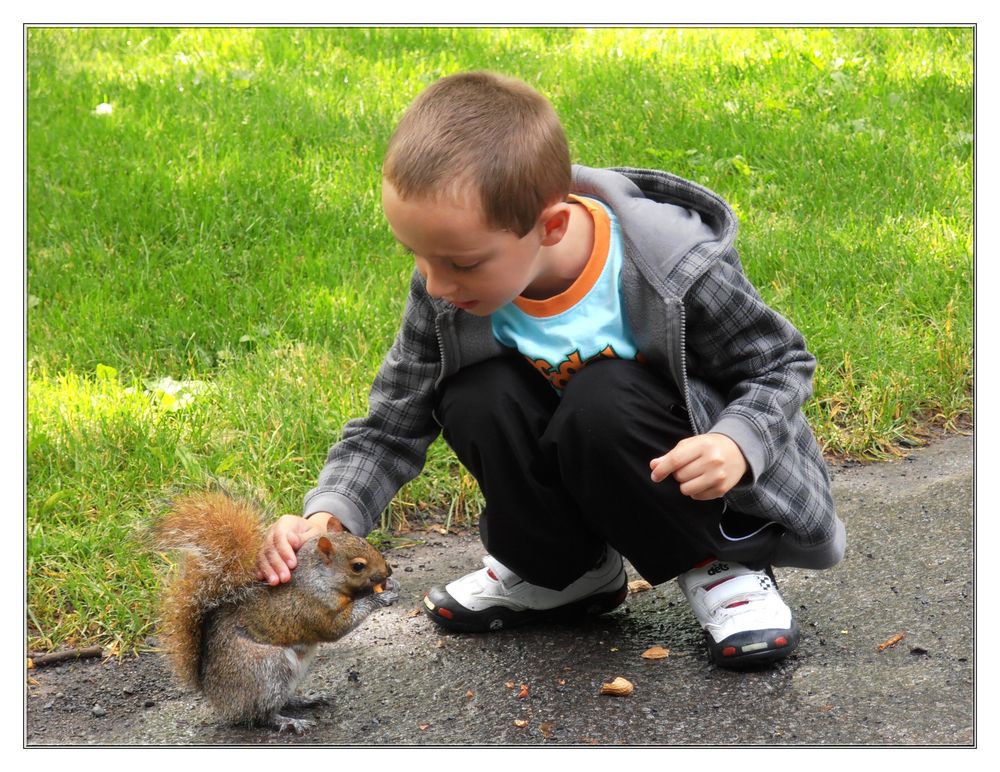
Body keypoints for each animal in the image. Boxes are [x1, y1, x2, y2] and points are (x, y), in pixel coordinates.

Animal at [152, 492, 398, 732]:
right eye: (358, 566)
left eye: (366, 542)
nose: (388, 571)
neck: (318, 577)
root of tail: (214, 693)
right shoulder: (312, 608)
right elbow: (336, 627)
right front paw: (379, 597)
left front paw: (391, 586)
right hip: (267, 669)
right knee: (261, 713)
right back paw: (288, 722)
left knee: (282, 700)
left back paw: (306, 699)